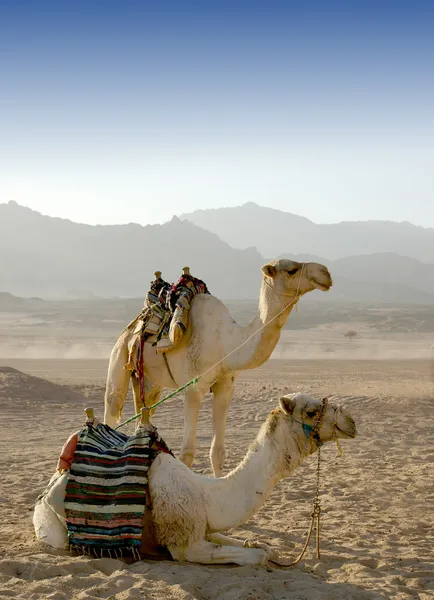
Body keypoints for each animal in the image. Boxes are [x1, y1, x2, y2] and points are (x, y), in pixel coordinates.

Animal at [34, 392, 358, 564]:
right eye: (312, 410)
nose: (351, 422)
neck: (206, 492)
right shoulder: (185, 542)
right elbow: (257, 556)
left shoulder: (204, 525)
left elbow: (261, 546)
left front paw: (257, 544)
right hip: (51, 527)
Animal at [104, 260, 332, 476]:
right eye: (292, 269)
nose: (326, 274)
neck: (225, 342)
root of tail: (135, 324)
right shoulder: (192, 389)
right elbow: (187, 453)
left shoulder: (225, 387)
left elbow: (218, 452)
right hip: (120, 355)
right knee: (113, 405)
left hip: (150, 382)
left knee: (145, 410)